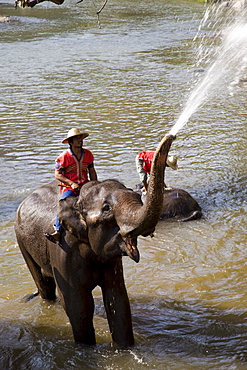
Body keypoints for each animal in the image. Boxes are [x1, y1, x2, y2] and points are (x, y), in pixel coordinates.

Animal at [14, 135, 176, 346]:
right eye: (106, 208)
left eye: (135, 195)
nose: (171, 135)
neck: (78, 200)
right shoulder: (64, 251)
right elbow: (78, 305)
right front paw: (86, 347)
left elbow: (117, 298)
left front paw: (125, 349)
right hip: (21, 240)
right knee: (44, 286)